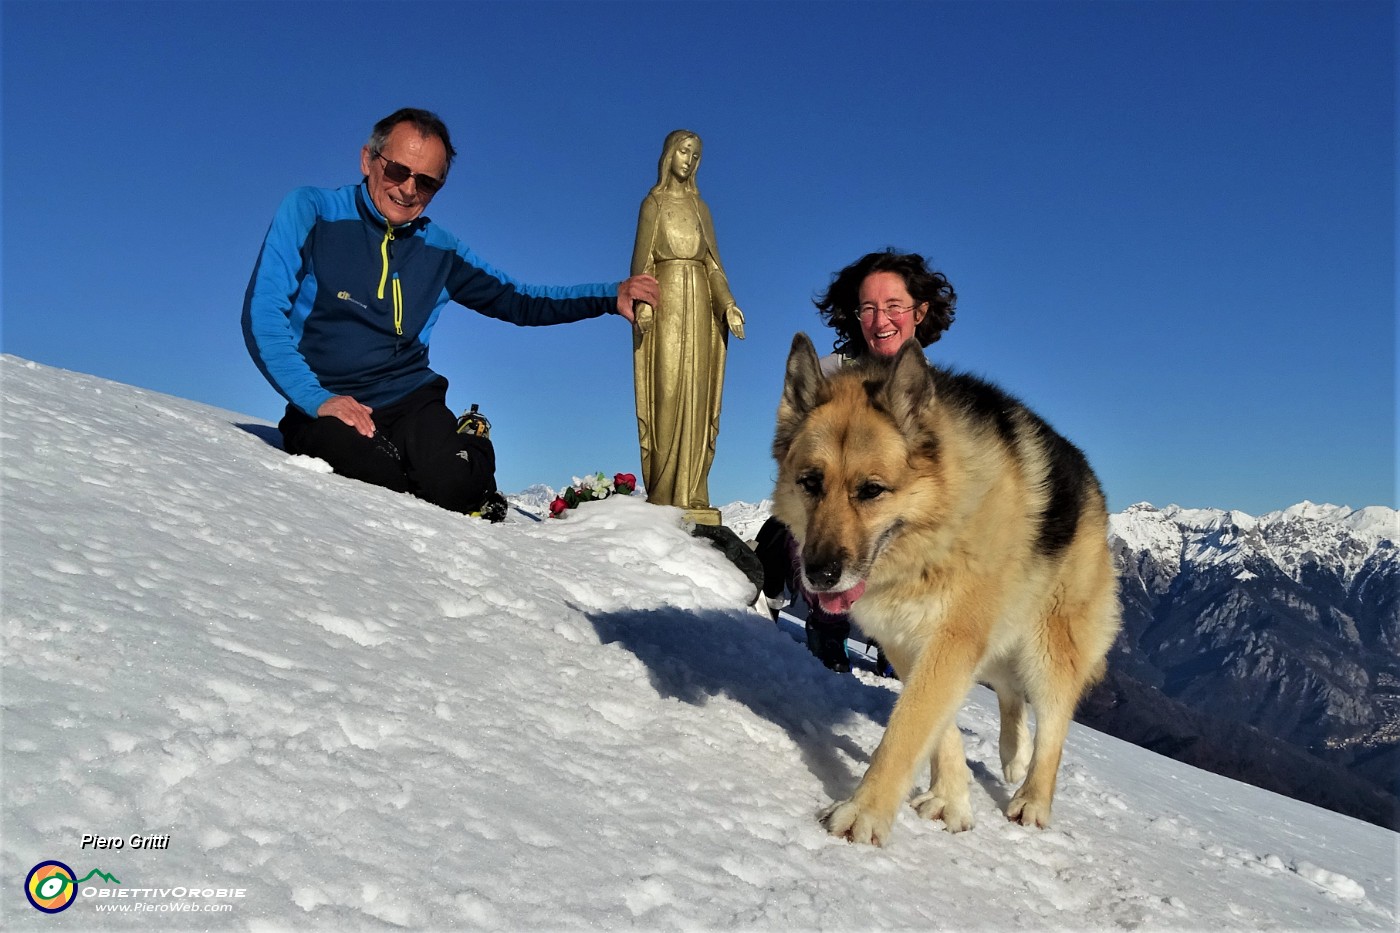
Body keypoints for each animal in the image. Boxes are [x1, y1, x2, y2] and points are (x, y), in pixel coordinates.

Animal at [772, 334, 1120, 840]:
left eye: (872, 490)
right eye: (810, 483)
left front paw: (864, 811)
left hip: (1048, 644)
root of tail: (1093, 486)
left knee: (1053, 724)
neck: (941, 520)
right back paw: (1013, 753)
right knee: (1009, 691)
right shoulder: (907, 640)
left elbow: (907, 730)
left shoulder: (952, 639)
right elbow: (939, 728)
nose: (819, 574)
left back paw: (1033, 799)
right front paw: (951, 798)